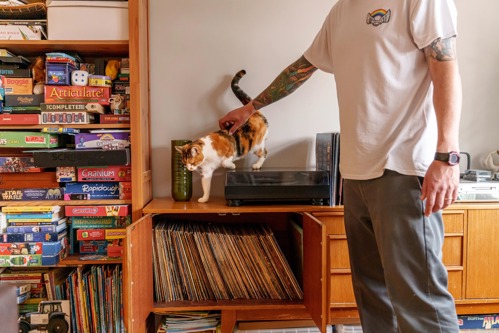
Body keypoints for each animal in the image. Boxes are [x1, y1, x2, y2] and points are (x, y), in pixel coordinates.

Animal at [176, 68, 270, 201]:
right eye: (185, 163)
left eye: (192, 162)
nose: (189, 169)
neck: (207, 156)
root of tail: (254, 113)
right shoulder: (206, 173)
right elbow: (206, 187)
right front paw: (203, 200)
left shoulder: (230, 149)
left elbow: (226, 162)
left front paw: (232, 166)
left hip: (256, 146)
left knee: (265, 152)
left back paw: (257, 165)